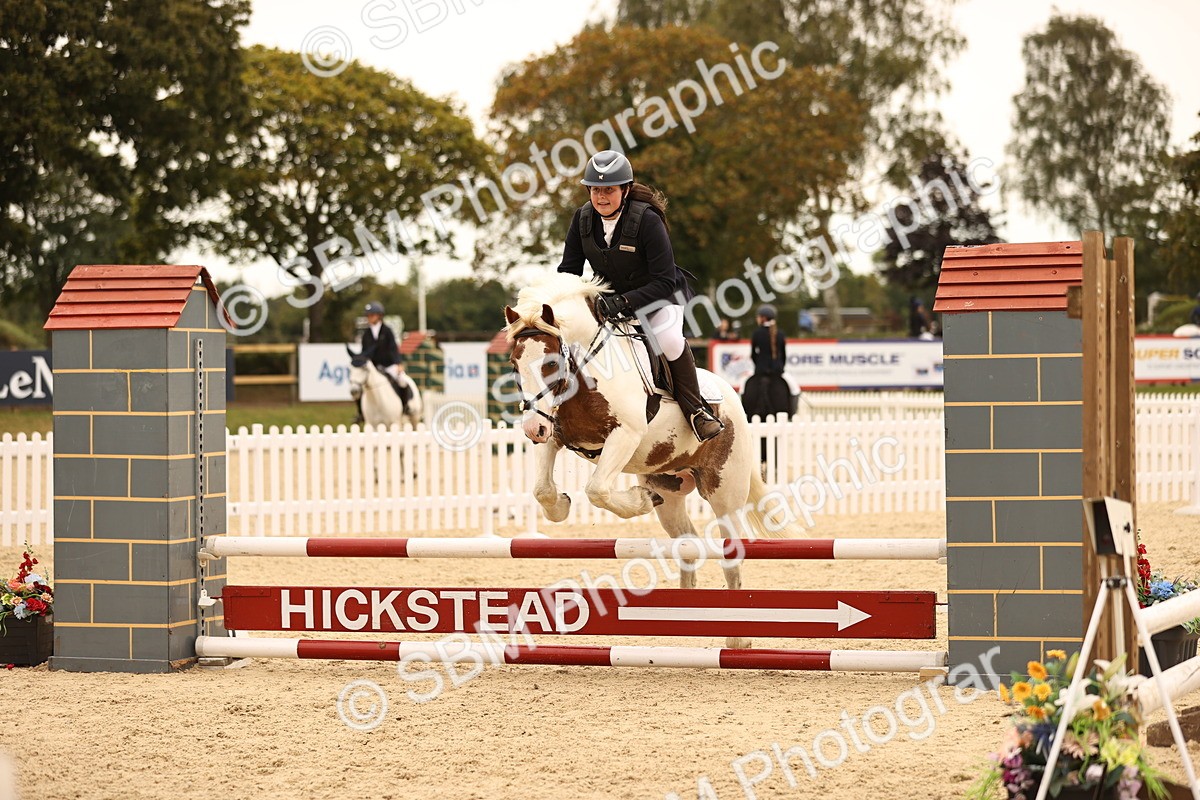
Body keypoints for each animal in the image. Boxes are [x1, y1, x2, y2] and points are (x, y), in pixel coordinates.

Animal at [504, 273, 802, 649]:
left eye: (550, 364)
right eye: (514, 364)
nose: (531, 428)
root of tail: (731, 396)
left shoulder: (625, 435)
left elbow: (597, 489)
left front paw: (639, 500)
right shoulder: (554, 433)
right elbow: (543, 489)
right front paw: (561, 505)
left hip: (724, 491)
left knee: (730, 551)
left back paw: (737, 639)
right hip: (671, 490)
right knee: (688, 543)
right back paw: (686, 613)